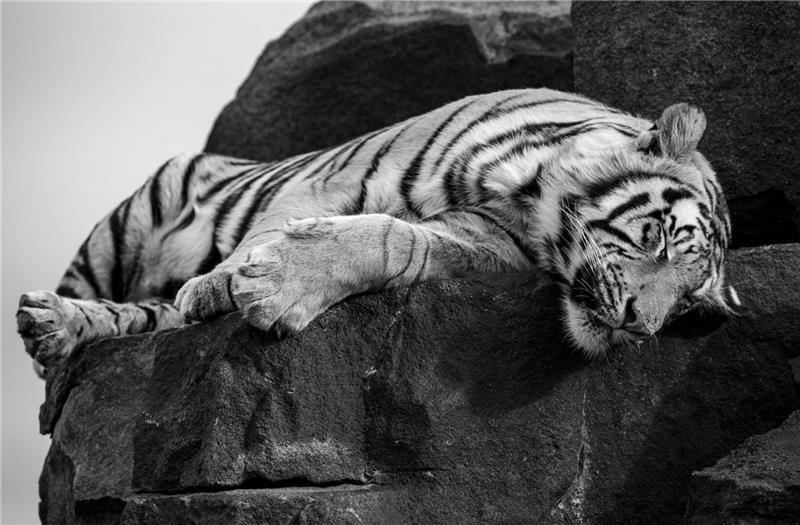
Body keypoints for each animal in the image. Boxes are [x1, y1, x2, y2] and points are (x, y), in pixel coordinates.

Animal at [16, 88, 739, 375]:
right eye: (659, 238)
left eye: (686, 305)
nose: (640, 327)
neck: (530, 202)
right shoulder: (323, 182)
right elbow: (261, 235)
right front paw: (224, 283)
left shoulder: (477, 244)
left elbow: (392, 241)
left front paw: (273, 287)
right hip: (135, 213)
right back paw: (51, 319)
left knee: (145, 316)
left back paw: (56, 325)